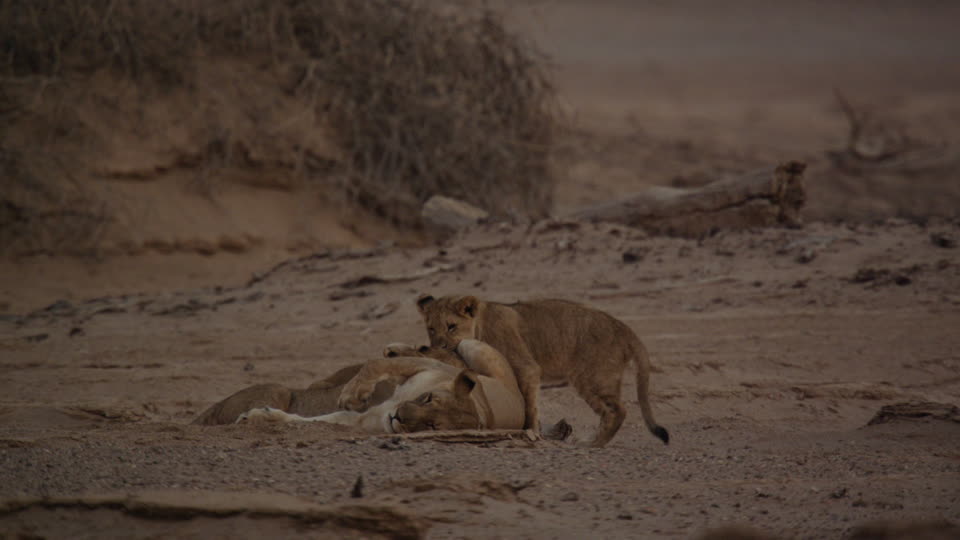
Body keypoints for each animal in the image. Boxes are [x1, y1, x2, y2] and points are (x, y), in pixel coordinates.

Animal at [416, 294, 669, 447]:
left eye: (451, 326)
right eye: (431, 328)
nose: (437, 346)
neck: (480, 326)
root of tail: (623, 327)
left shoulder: (526, 367)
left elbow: (528, 404)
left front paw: (530, 432)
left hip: (592, 378)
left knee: (619, 410)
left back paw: (591, 443)